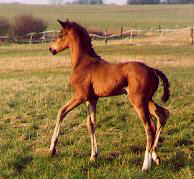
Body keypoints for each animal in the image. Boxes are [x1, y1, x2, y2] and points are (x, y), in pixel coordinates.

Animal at [49, 19, 170, 171]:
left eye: (60, 35)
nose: (51, 49)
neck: (83, 63)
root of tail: (152, 70)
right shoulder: (92, 99)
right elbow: (91, 124)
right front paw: (93, 156)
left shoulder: (80, 96)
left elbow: (61, 112)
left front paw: (52, 149)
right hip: (147, 100)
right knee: (162, 115)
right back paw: (156, 156)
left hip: (138, 101)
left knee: (149, 129)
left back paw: (145, 166)